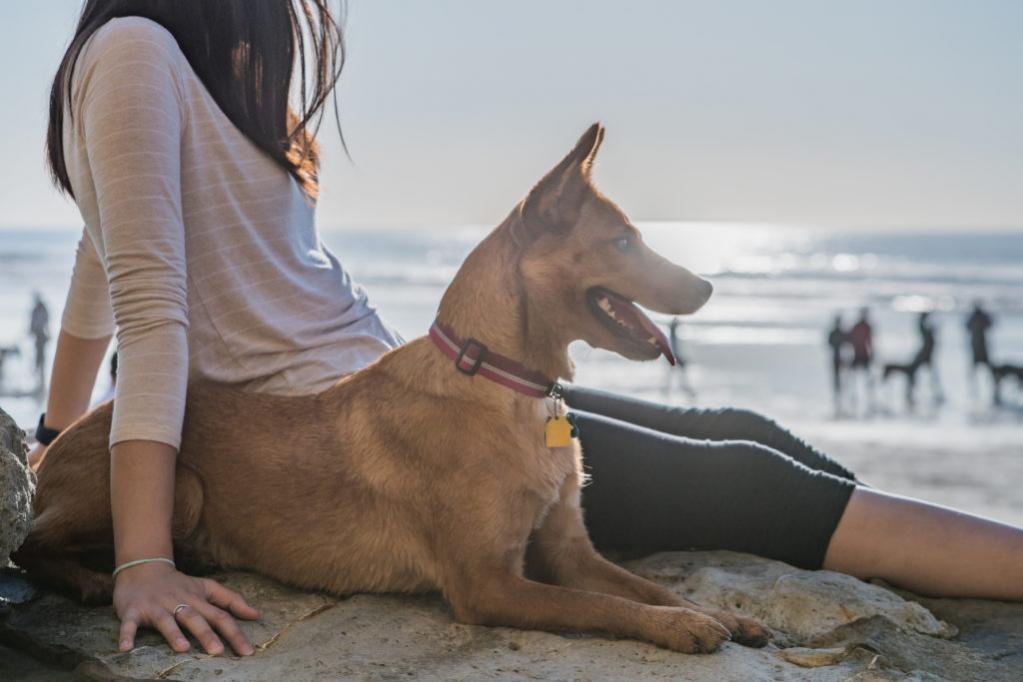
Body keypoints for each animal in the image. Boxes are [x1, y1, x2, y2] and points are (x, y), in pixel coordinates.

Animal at [18, 125, 769, 654]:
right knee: (29, 544)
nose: (709, 285)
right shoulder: (486, 584)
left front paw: (714, 613)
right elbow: (603, 606)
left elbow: (642, 585)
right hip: (180, 489)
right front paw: (681, 628)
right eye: (621, 243)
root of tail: (53, 446)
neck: (502, 383)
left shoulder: (567, 551)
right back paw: (92, 579)